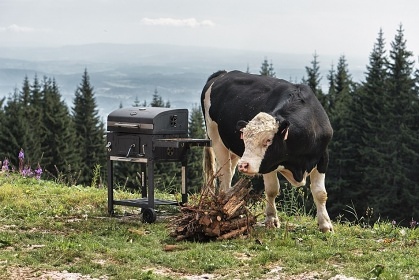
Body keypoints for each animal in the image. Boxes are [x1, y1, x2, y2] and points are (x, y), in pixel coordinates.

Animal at [201, 69, 334, 232]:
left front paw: (325, 225)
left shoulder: (322, 156)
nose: (244, 165)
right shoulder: (268, 164)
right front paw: (271, 219)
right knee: (224, 175)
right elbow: (272, 190)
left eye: (268, 141)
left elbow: (320, 193)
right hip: (216, 139)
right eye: (244, 138)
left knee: (229, 172)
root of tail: (223, 73)